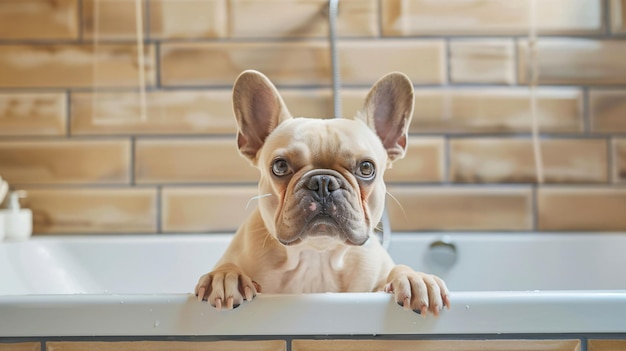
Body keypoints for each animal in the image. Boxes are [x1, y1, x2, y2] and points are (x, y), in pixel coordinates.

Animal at [195, 69, 448, 316]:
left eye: (366, 168)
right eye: (280, 166)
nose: (323, 182)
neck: (317, 254)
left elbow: (396, 270)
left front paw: (414, 278)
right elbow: (229, 266)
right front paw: (227, 276)